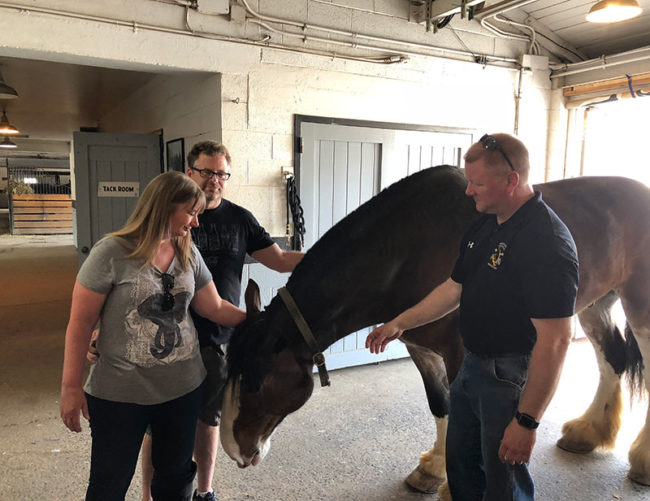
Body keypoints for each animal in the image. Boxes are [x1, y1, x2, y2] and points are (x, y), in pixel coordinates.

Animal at [219, 165, 650, 498]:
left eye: (256, 382)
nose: (233, 449)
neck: (409, 250)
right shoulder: (422, 349)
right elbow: (440, 403)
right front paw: (431, 470)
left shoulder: (462, 352)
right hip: (595, 306)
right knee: (611, 359)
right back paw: (588, 433)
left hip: (639, 309)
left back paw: (642, 460)